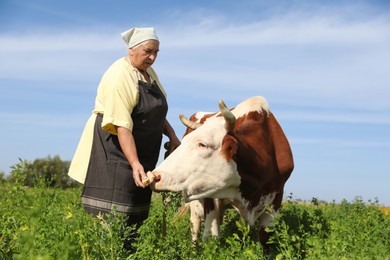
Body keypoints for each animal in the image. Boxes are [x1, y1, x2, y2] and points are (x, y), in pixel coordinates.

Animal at [151, 96, 294, 244]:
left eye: (202, 144)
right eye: (184, 141)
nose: (154, 176)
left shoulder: (276, 199)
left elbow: (266, 239)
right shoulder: (209, 195)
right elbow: (210, 237)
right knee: (195, 225)